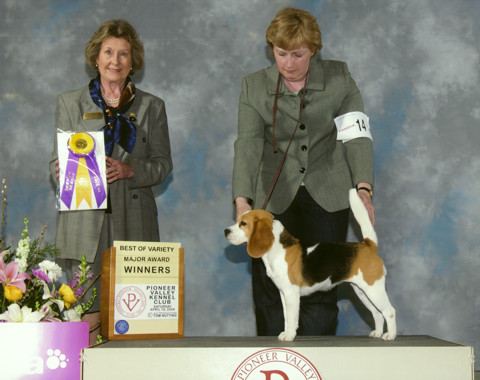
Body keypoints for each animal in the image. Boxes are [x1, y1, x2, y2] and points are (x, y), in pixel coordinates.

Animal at [225, 190, 398, 342]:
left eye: (243, 224)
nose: (226, 231)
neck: (278, 249)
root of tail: (368, 245)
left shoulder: (291, 294)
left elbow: (292, 318)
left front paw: (289, 336)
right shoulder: (283, 294)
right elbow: (286, 317)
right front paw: (285, 333)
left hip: (374, 289)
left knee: (389, 311)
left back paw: (390, 335)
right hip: (362, 292)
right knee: (377, 313)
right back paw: (377, 333)